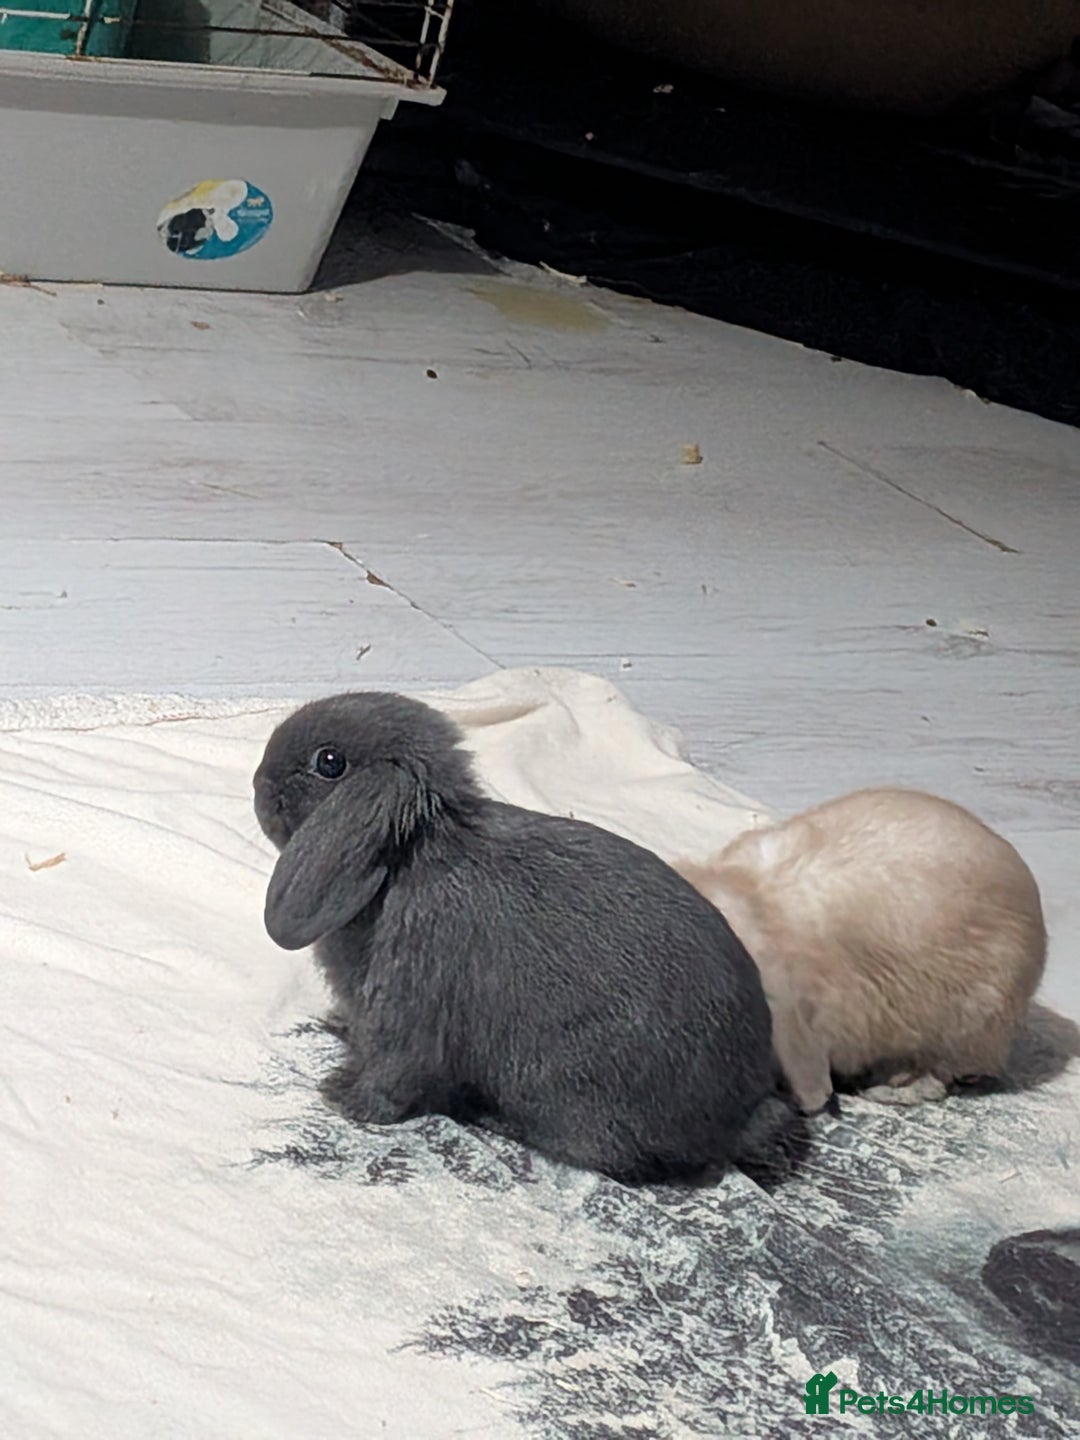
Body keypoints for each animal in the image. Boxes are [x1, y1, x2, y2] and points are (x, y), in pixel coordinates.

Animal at [252, 690, 793, 1185]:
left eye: (329, 762)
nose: (258, 783)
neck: (409, 855)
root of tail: (736, 1116)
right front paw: (335, 1027)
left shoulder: (409, 1007)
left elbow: (393, 1074)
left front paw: (343, 1099)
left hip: (560, 1086)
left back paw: (498, 1122)